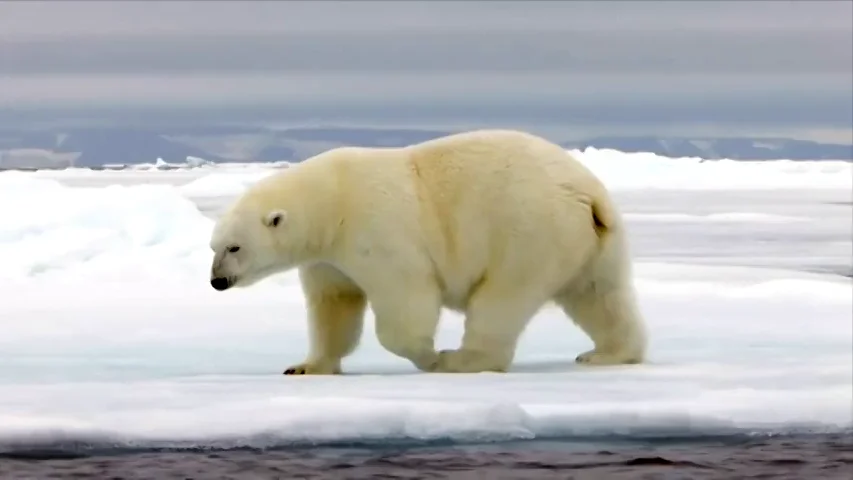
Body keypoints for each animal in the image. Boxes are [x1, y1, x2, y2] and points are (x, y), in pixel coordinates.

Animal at [208, 129, 648, 375]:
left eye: (235, 246)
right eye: (213, 246)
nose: (217, 281)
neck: (331, 201)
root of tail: (586, 194)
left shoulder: (376, 228)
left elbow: (406, 297)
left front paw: (428, 356)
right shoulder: (326, 258)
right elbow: (335, 306)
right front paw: (305, 366)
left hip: (529, 231)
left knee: (502, 299)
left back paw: (461, 360)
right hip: (591, 240)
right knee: (598, 295)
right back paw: (607, 353)